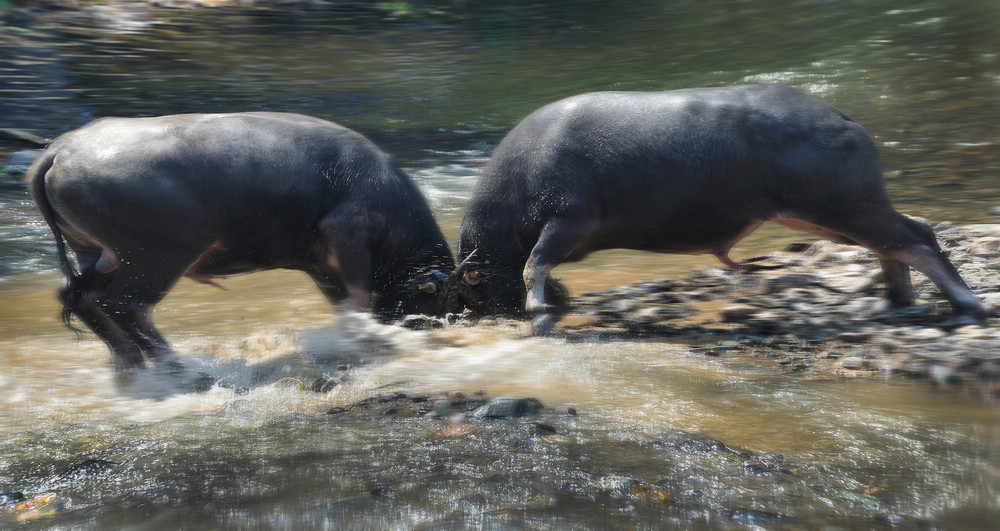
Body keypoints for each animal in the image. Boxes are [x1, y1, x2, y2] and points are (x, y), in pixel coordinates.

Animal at [27, 111, 464, 374]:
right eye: (435, 298)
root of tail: (60, 149)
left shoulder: (321, 266)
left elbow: (344, 301)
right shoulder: (347, 236)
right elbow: (359, 295)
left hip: (99, 255)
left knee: (79, 296)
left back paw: (130, 367)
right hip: (156, 258)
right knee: (126, 306)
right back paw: (179, 368)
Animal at [458, 83, 988, 332]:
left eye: (473, 288)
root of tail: (842, 118)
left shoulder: (570, 219)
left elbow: (534, 264)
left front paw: (539, 311)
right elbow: (539, 266)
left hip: (842, 206)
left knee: (915, 239)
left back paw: (968, 306)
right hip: (825, 214)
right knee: (902, 238)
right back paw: (897, 302)